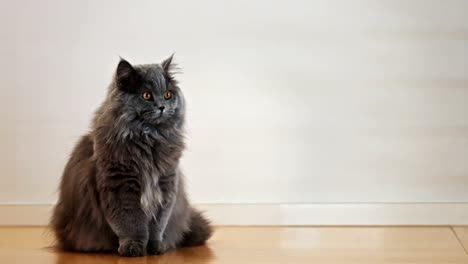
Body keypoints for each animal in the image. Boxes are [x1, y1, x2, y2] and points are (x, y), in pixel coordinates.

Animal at [50, 55, 212, 256]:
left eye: (168, 94)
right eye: (146, 95)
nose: (162, 106)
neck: (149, 138)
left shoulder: (166, 184)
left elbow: (158, 225)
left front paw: (156, 247)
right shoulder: (121, 186)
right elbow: (131, 224)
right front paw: (133, 248)